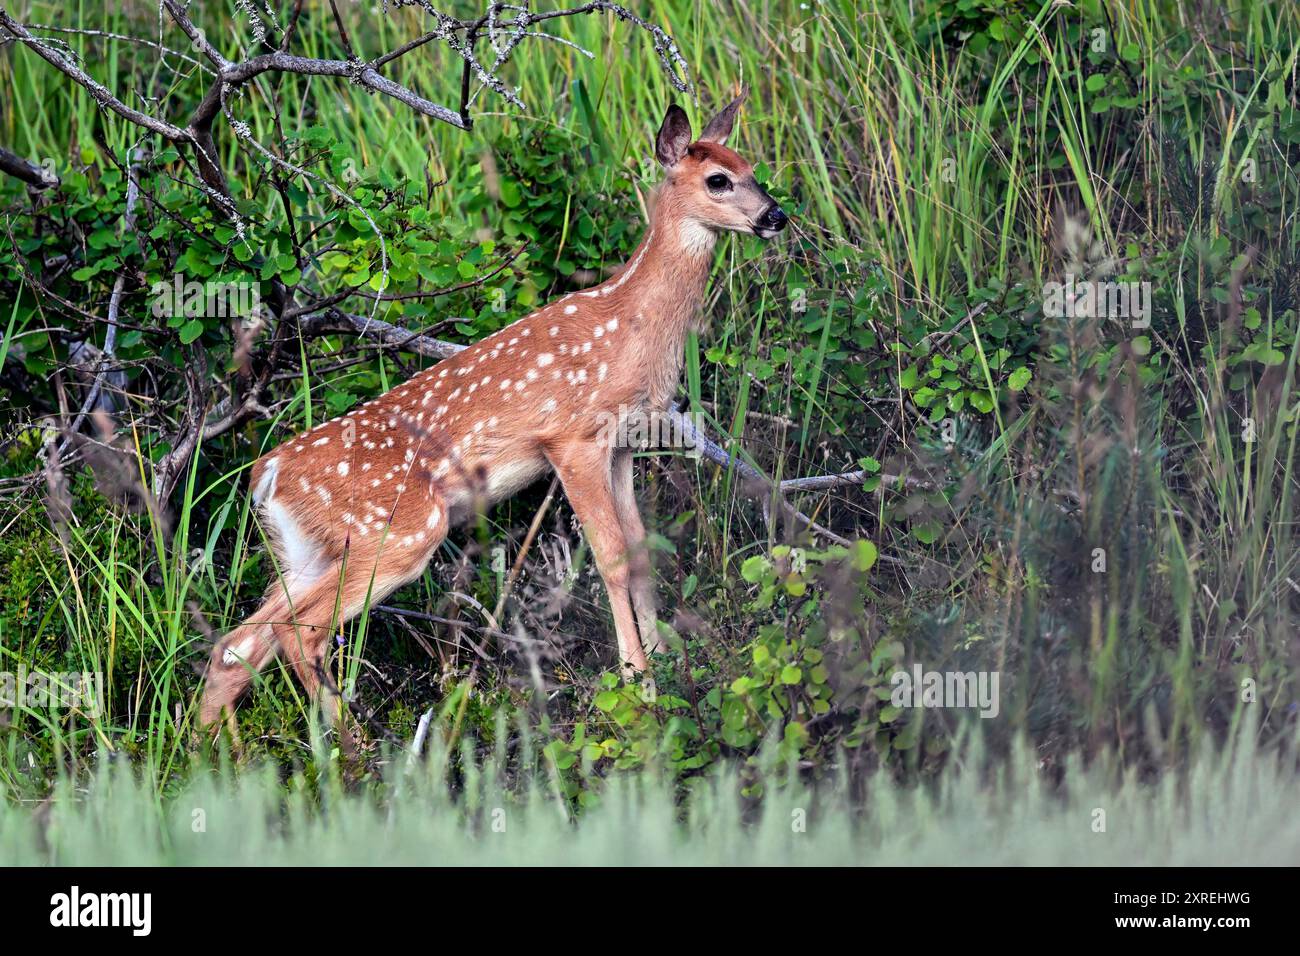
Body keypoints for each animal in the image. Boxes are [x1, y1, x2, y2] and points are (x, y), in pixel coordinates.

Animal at [198, 91, 789, 729]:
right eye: (718, 180)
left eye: (753, 168)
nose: (775, 215)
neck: (629, 327)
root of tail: (267, 472)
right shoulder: (571, 437)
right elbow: (609, 557)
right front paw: (640, 685)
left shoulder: (624, 444)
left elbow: (638, 550)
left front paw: (665, 665)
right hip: (396, 532)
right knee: (297, 628)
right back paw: (347, 744)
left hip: (309, 547)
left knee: (237, 642)